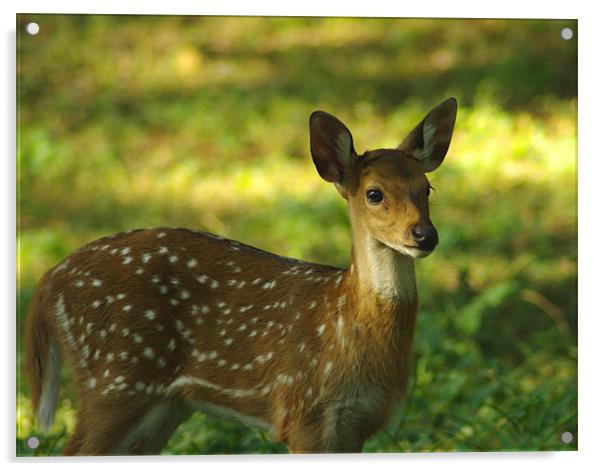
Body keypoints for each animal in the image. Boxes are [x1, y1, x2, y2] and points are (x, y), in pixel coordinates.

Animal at [23, 97, 454, 456]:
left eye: (427, 187)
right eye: (374, 193)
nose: (425, 234)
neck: (346, 326)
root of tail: (49, 279)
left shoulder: (358, 425)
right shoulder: (304, 413)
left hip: (161, 406)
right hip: (113, 379)